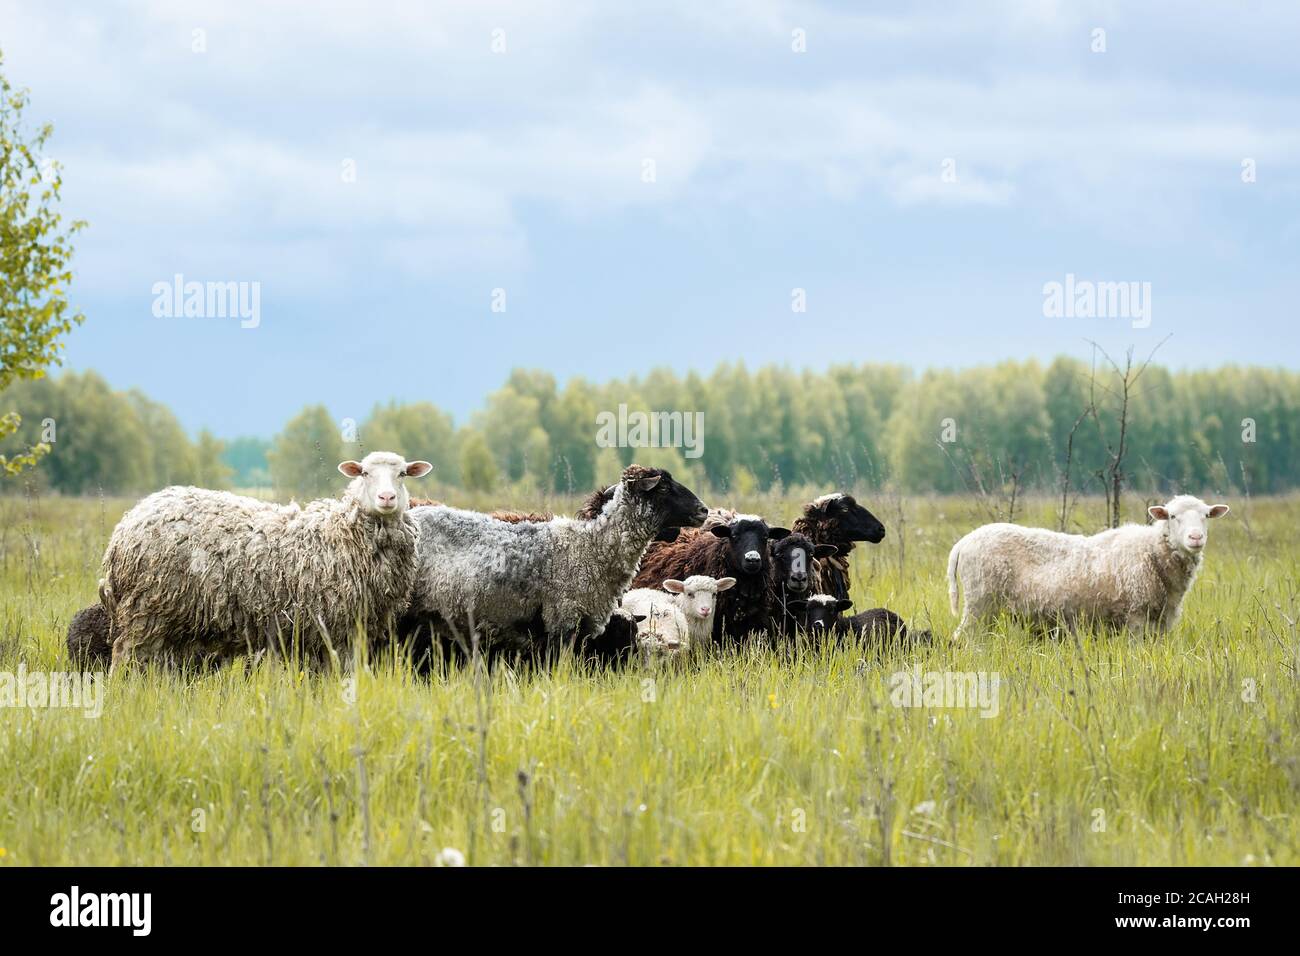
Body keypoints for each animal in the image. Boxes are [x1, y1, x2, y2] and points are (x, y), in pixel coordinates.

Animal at [101, 451, 433, 669]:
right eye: (364, 473)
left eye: (403, 474)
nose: (387, 498)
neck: (341, 533)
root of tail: (126, 525)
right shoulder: (339, 627)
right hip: (146, 610)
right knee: (124, 656)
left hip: (170, 617)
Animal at [947, 495, 1230, 640]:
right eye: (1172, 516)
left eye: (1206, 516)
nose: (1196, 538)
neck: (1152, 552)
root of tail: (964, 542)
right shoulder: (1136, 615)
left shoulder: (1162, 621)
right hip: (981, 601)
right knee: (963, 638)